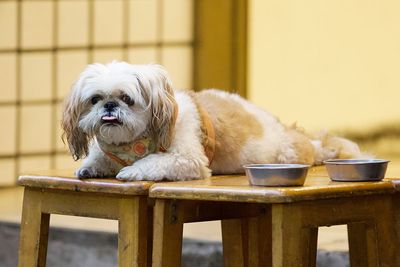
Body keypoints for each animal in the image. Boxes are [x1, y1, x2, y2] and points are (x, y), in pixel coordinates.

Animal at [61, 61, 364, 181]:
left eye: (127, 98)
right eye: (95, 99)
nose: (110, 106)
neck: (133, 143)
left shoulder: (187, 159)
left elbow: (155, 162)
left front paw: (133, 171)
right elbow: (99, 158)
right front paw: (90, 168)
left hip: (287, 153)